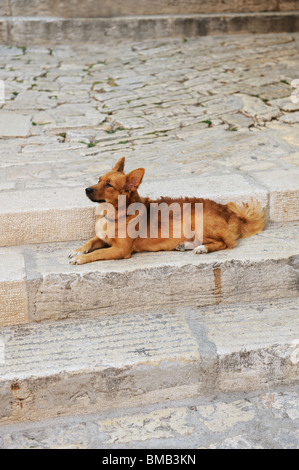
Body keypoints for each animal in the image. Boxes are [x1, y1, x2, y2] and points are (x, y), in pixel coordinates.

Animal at [68, 158, 268, 264]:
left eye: (108, 185)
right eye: (99, 179)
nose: (87, 189)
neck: (117, 214)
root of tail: (232, 213)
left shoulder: (120, 250)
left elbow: (97, 253)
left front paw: (80, 259)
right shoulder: (102, 238)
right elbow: (90, 242)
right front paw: (78, 251)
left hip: (197, 220)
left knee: (226, 243)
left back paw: (202, 248)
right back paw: (185, 245)